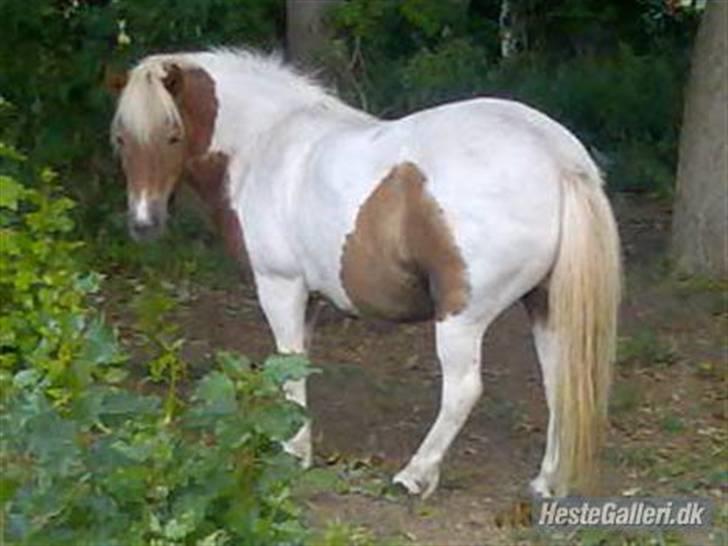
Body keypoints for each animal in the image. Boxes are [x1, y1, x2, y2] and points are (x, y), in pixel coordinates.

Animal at [110, 48, 621, 499]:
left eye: (172, 134)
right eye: (120, 139)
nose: (143, 223)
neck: (266, 143)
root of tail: (555, 157)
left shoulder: (280, 285)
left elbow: (287, 363)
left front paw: (293, 453)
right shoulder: (309, 297)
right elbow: (298, 364)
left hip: (462, 316)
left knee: (463, 390)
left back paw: (415, 475)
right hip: (545, 304)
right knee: (560, 382)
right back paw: (546, 482)